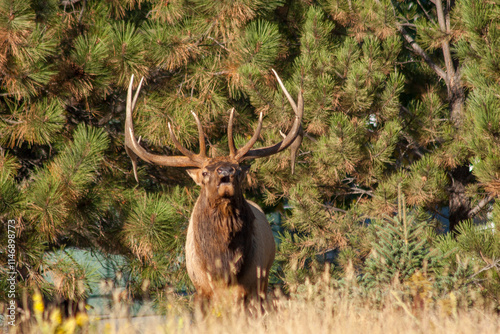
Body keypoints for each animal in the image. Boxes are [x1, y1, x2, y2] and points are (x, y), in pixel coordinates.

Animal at [124, 72, 304, 302]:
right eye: (205, 172)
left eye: (238, 169)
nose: (226, 172)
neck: (223, 269)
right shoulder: (200, 289)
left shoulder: (252, 288)